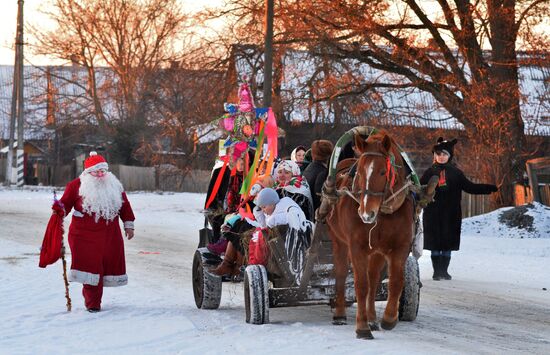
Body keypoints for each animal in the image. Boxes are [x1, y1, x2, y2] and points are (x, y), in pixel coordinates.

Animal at [328, 130, 414, 340]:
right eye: (359, 171)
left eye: (383, 172)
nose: (367, 213)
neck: (383, 213)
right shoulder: (357, 247)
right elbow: (361, 285)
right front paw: (362, 326)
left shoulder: (400, 247)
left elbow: (395, 282)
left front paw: (388, 318)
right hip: (339, 241)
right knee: (341, 274)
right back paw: (340, 314)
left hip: (376, 251)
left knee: (374, 279)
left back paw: (373, 318)